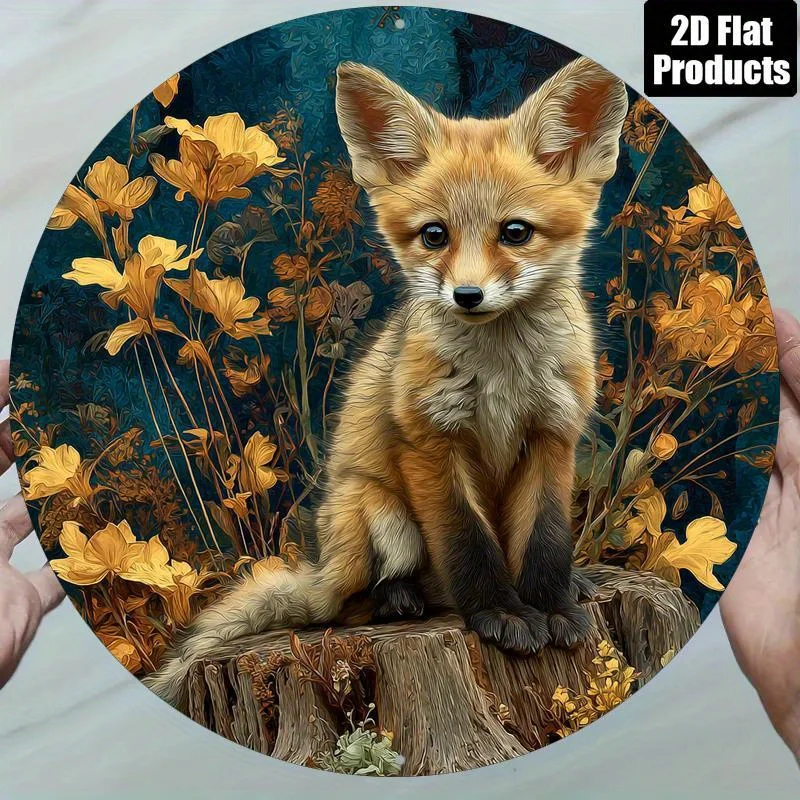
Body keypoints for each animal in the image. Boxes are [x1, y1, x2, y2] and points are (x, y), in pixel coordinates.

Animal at [144, 55, 629, 711]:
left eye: (516, 232)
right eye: (434, 235)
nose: (467, 295)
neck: (502, 376)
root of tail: (323, 569)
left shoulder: (552, 433)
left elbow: (547, 540)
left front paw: (551, 607)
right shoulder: (430, 441)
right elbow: (469, 544)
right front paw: (503, 614)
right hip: (378, 513)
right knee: (345, 608)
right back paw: (400, 600)